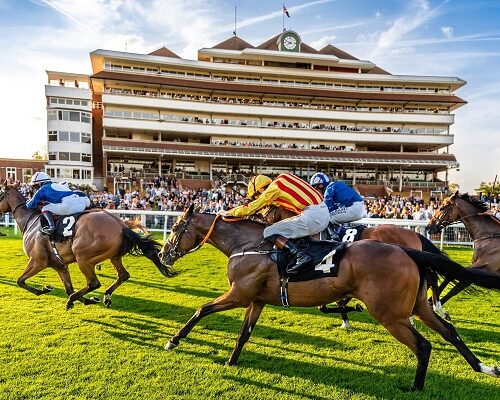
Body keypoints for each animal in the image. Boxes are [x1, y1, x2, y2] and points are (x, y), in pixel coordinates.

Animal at [0, 183, 176, 310]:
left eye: (0, 193)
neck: (31, 221)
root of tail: (121, 226)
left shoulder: (38, 261)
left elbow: (20, 281)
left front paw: (44, 290)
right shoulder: (60, 265)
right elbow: (68, 288)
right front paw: (87, 300)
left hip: (83, 258)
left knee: (94, 283)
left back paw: (73, 300)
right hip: (113, 256)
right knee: (123, 275)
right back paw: (106, 296)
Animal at [262, 203, 446, 324]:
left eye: (266, 210)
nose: (261, 218)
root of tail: (415, 234)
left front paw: (345, 317)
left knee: (431, 277)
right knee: (431, 277)